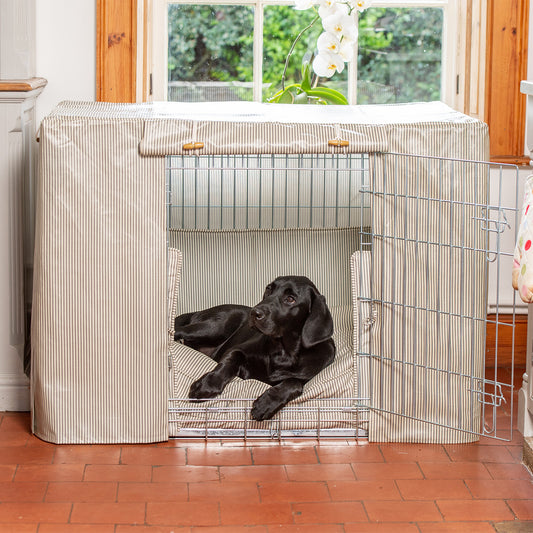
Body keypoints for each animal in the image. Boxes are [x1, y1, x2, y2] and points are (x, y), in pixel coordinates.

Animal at [172, 274, 334, 420]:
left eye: (290, 299)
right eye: (268, 289)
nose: (254, 312)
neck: (283, 353)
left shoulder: (307, 375)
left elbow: (294, 383)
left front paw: (267, 403)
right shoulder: (236, 350)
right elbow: (230, 360)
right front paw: (208, 384)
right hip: (214, 327)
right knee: (176, 330)